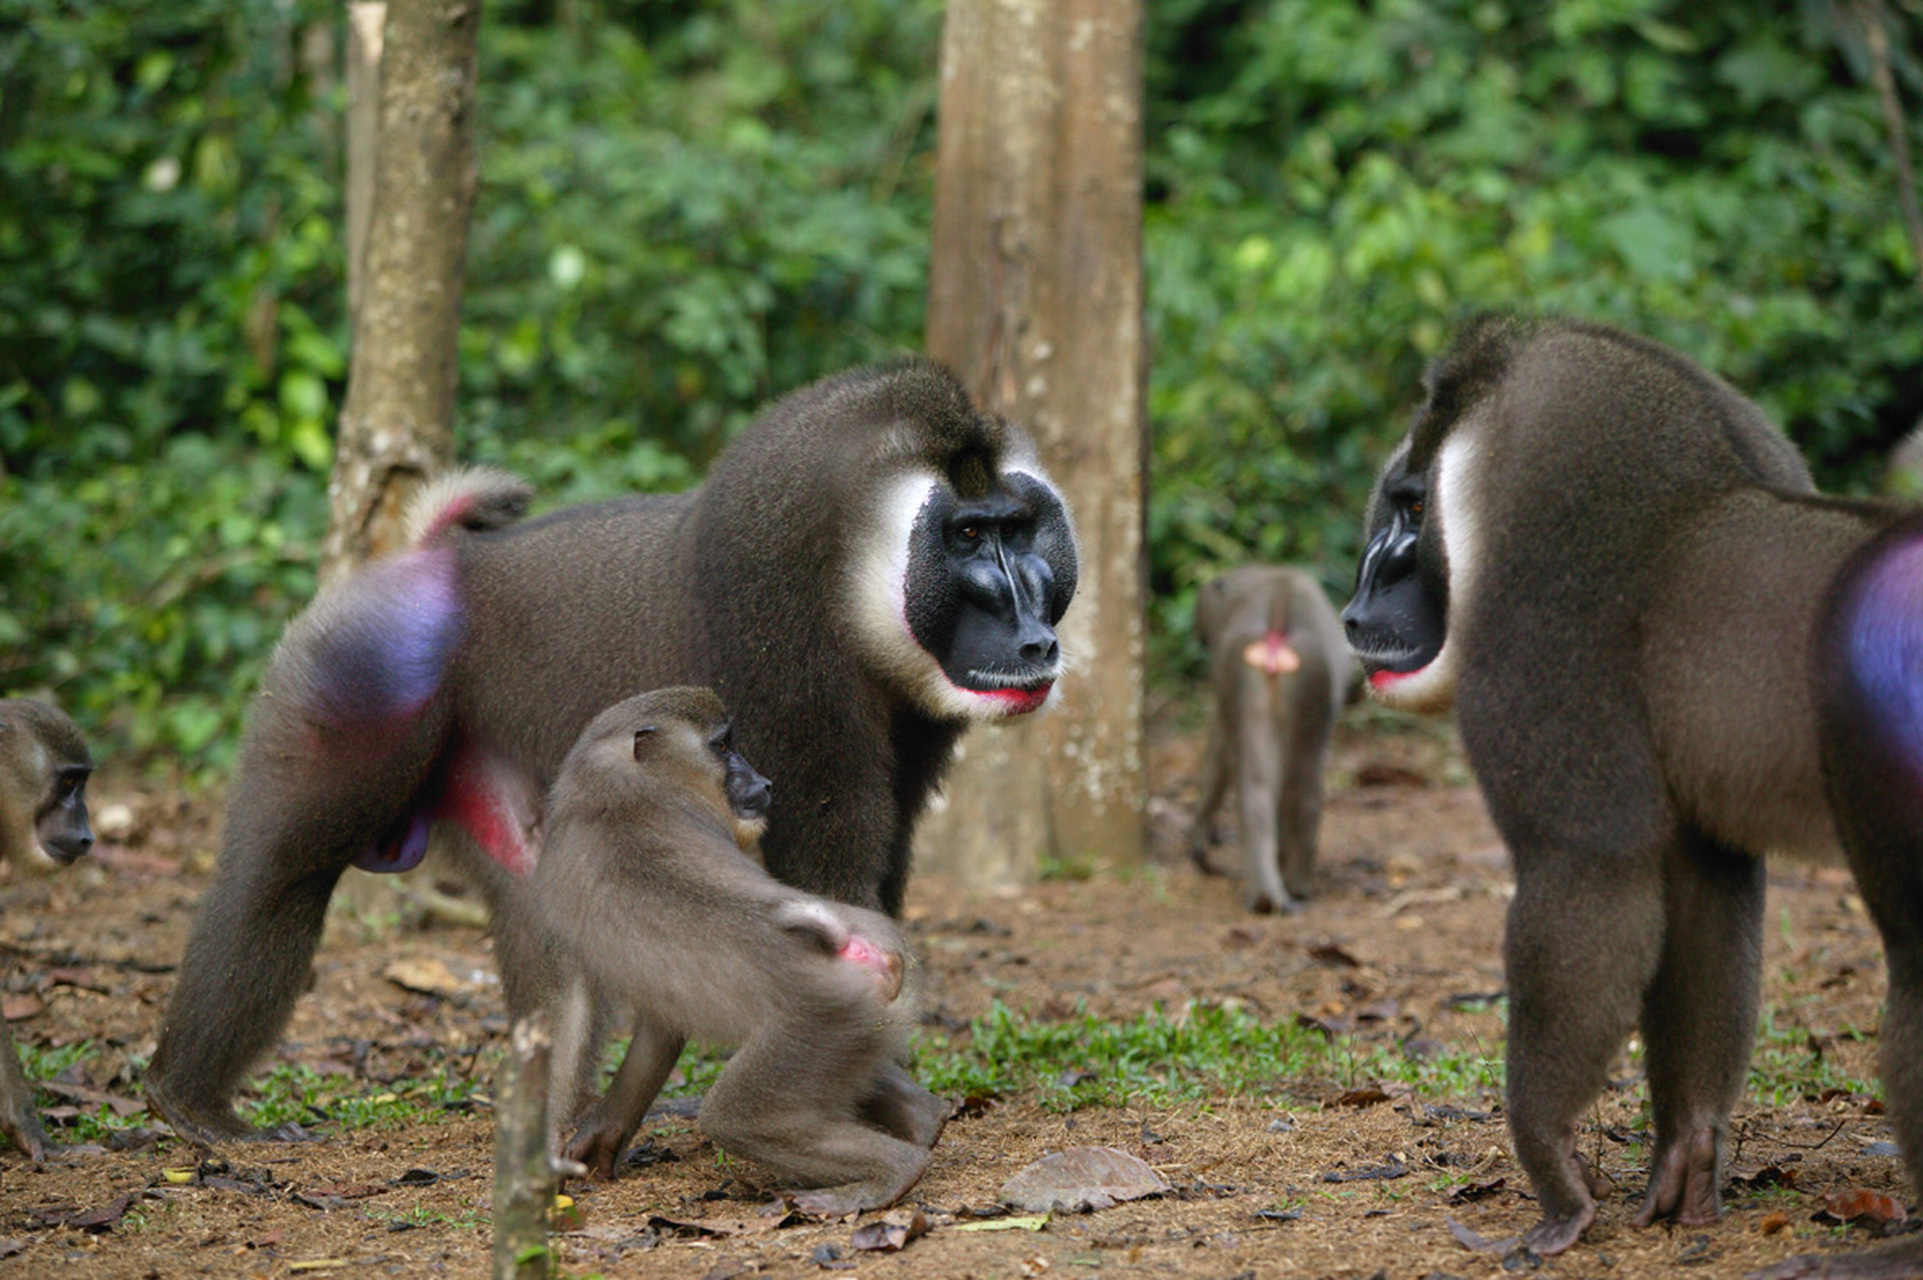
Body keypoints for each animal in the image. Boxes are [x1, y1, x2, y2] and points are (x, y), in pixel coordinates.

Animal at [146, 359, 1084, 1145]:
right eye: (967, 539)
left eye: (1019, 530)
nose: (1035, 638)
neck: (856, 562)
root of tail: (435, 561)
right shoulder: (789, 662)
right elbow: (831, 881)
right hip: (359, 690)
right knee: (279, 880)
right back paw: (188, 1104)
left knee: (552, 936)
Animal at [530, 688, 949, 1206]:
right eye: (724, 747)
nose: (764, 782)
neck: (619, 786)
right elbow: (657, 1026)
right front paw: (601, 1134)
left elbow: (567, 1015)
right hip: (863, 1019)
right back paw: (925, 1120)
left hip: (820, 1020)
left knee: (738, 1119)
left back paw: (891, 1175)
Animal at [1184, 565, 1353, 910]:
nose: (1202, 637)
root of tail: (1278, 608)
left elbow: (1220, 752)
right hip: (1305, 679)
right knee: (1301, 786)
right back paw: (1295, 884)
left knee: (1259, 785)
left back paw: (1268, 890)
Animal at [1346, 311, 1923, 1276]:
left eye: (1411, 506)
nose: (1356, 608)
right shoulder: (1696, 828)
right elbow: (1701, 909)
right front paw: (1684, 1159)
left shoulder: (1543, 615)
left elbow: (1590, 878)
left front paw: (1554, 1180)